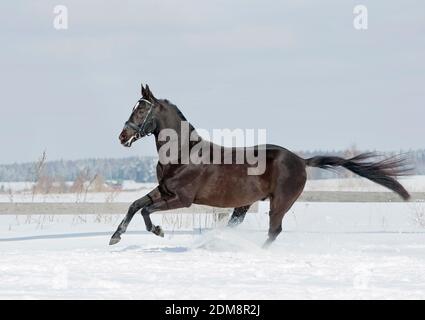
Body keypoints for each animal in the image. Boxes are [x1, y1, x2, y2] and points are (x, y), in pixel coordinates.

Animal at [110, 84, 410, 248]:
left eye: (141, 109)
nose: (123, 137)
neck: (184, 154)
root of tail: (300, 161)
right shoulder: (163, 191)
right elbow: (135, 205)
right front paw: (115, 237)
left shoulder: (181, 199)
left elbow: (146, 211)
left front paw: (158, 231)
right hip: (244, 204)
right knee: (236, 226)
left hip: (280, 202)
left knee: (274, 230)